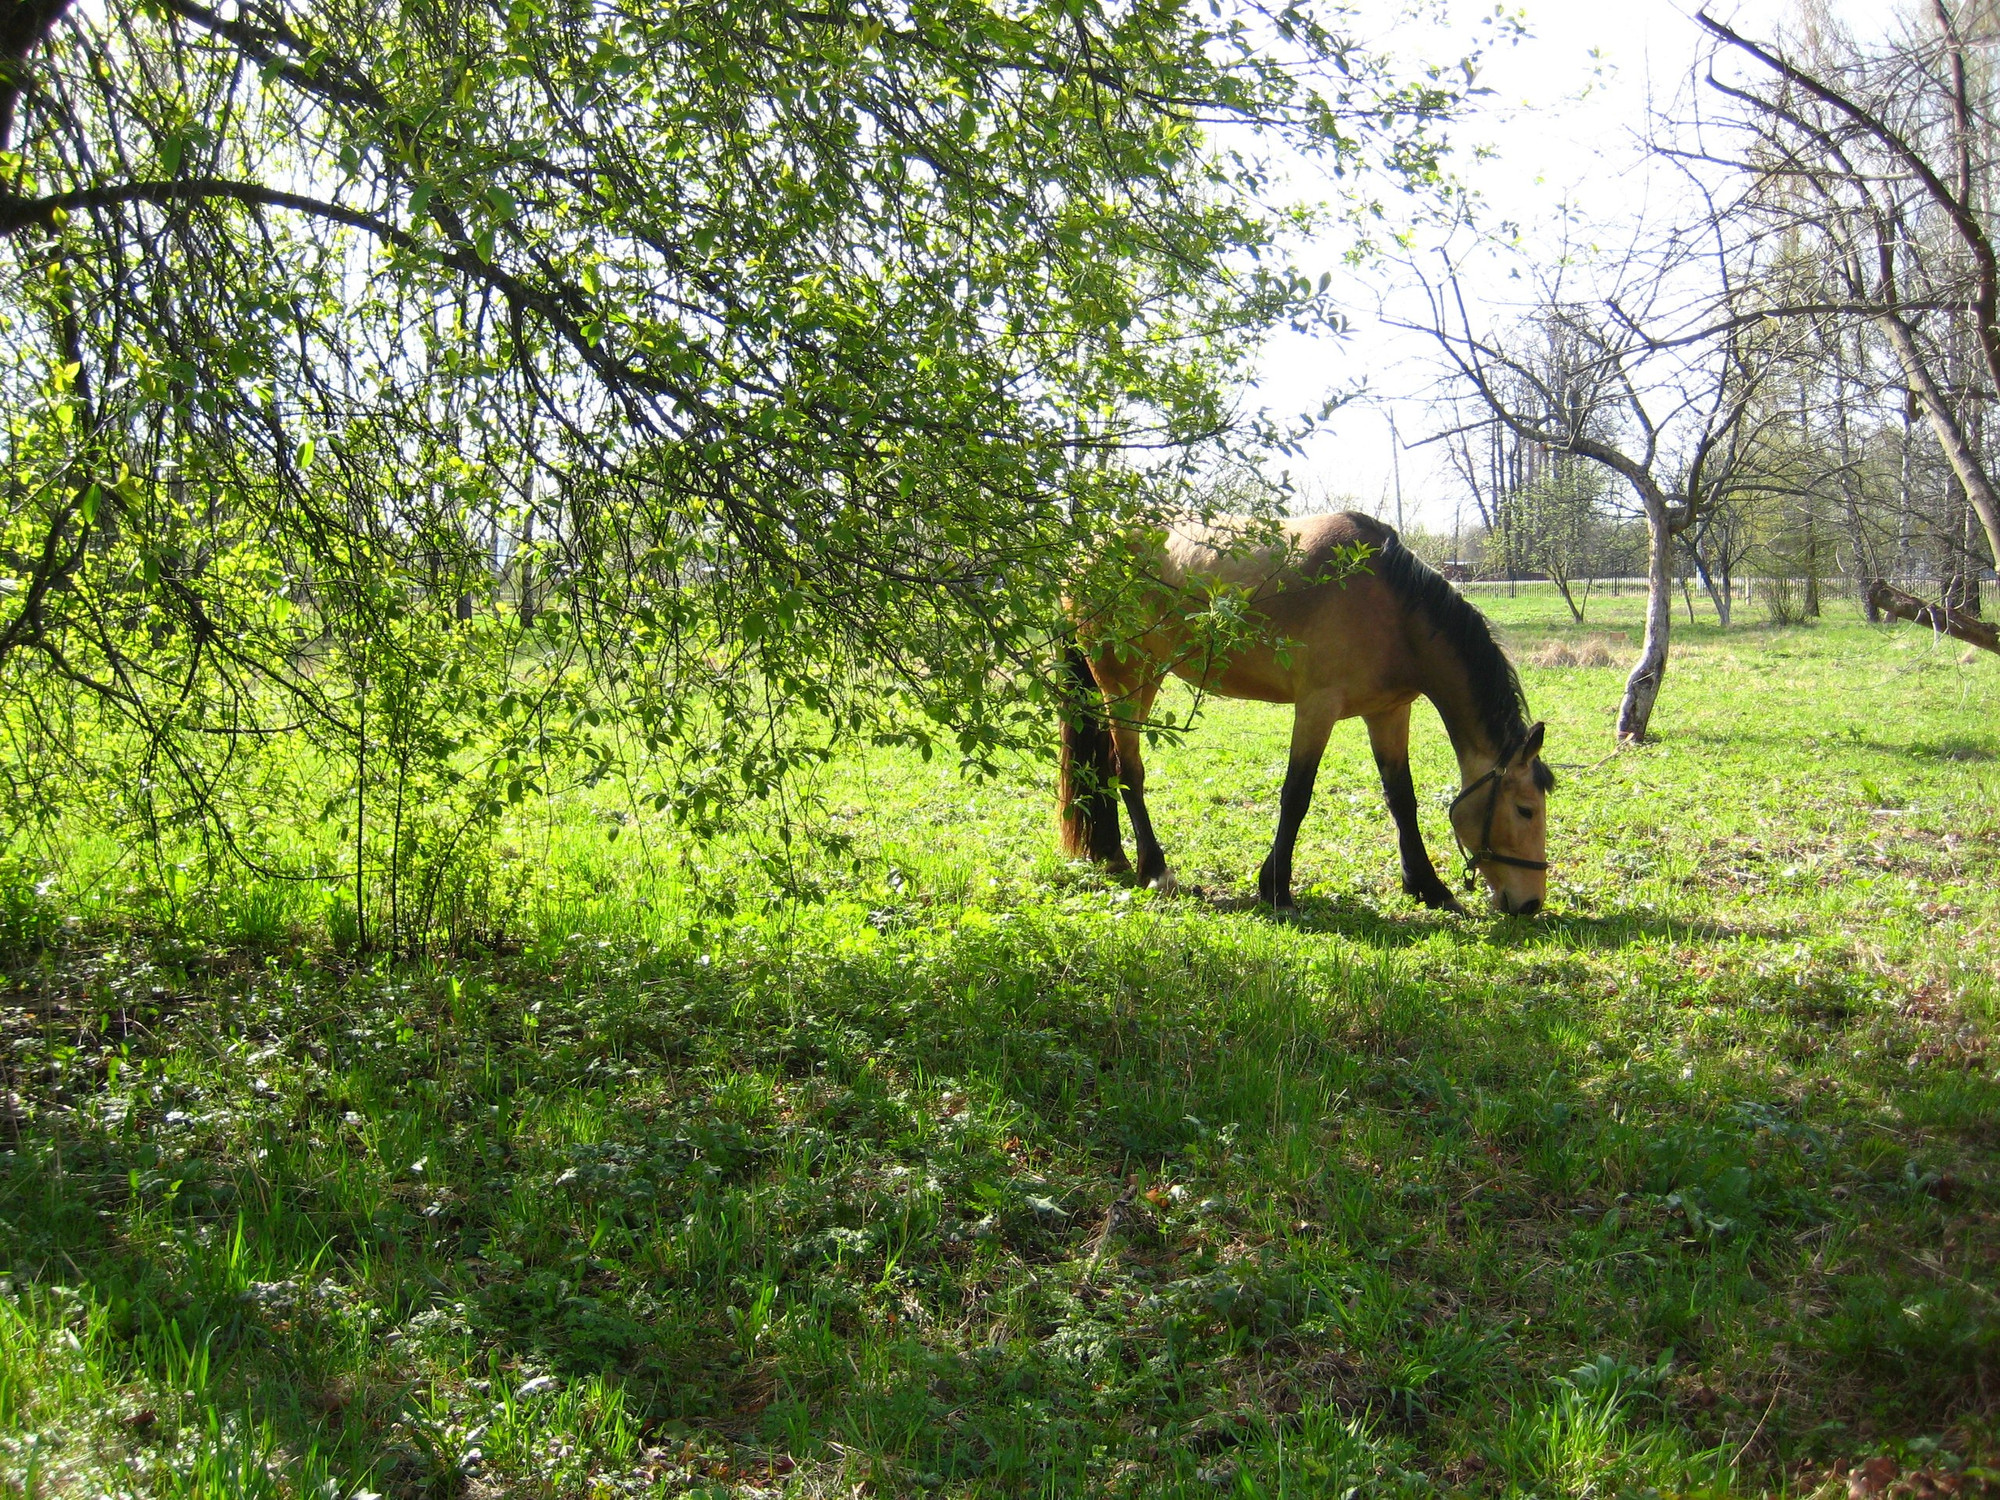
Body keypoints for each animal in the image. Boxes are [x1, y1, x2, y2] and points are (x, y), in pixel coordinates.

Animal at [1056, 516, 1552, 916]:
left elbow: (1401, 798)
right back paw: (1155, 870)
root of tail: (1085, 554)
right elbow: (1296, 796)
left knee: (1107, 770)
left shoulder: (1389, 712)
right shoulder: (1317, 708)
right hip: (1128, 683)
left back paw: (1115, 856)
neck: (1392, 608)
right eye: (1525, 810)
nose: (1531, 903)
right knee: (1129, 773)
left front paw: (1428, 887)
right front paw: (1275, 888)